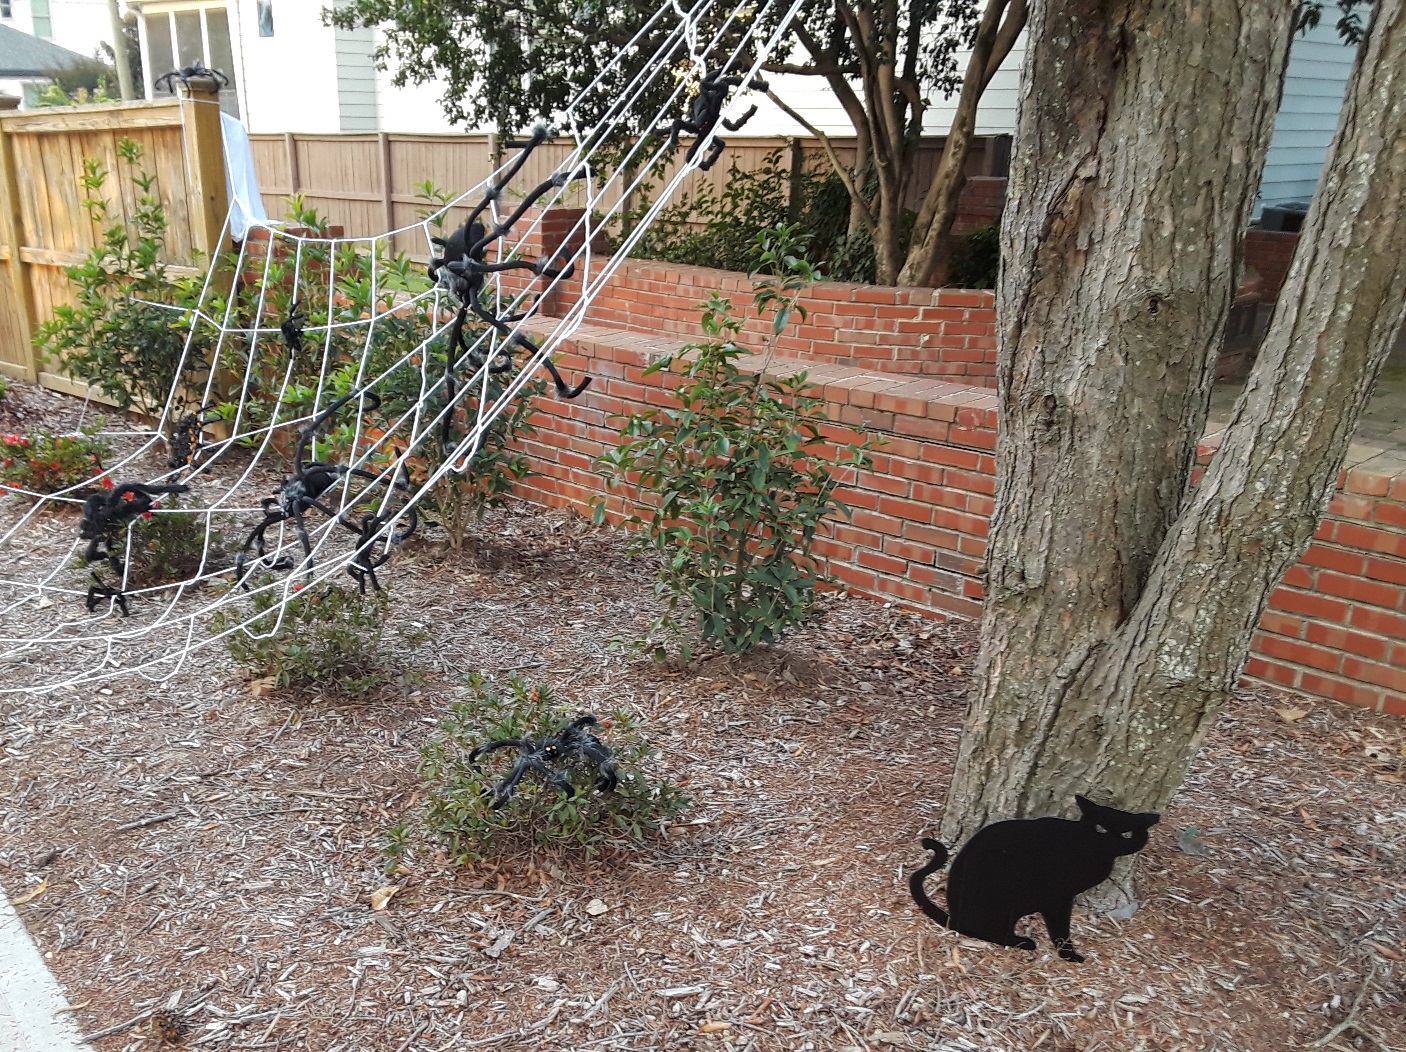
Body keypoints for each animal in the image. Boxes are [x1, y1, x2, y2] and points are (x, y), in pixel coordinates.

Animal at [909, 794, 1160, 963]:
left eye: (1127, 833)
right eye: (1100, 828)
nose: (1110, 840)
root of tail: (955, 915)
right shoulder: (1059, 897)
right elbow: (1061, 929)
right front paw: (1069, 955)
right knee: (985, 931)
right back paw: (1024, 942)